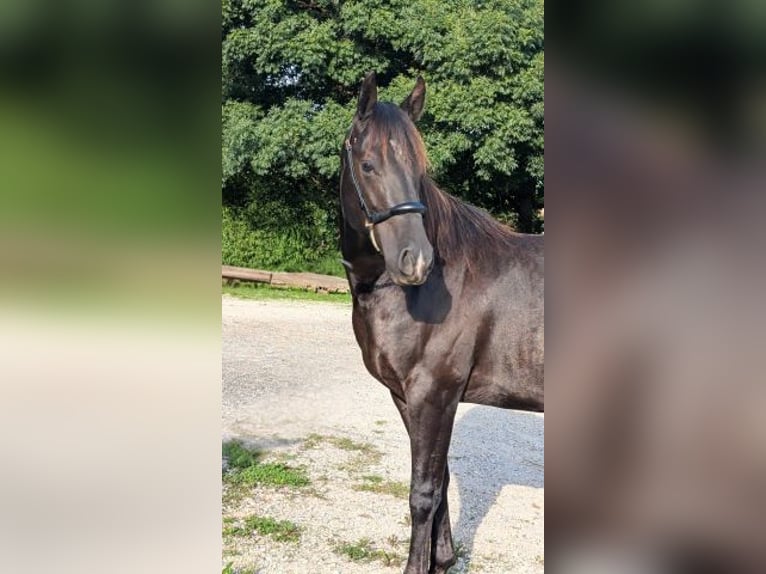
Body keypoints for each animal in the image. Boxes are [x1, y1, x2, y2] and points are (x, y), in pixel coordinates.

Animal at [339, 72, 544, 574]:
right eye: (368, 165)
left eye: (419, 170)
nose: (415, 261)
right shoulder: (409, 397)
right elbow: (442, 477)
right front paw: (445, 558)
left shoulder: (434, 394)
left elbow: (423, 493)